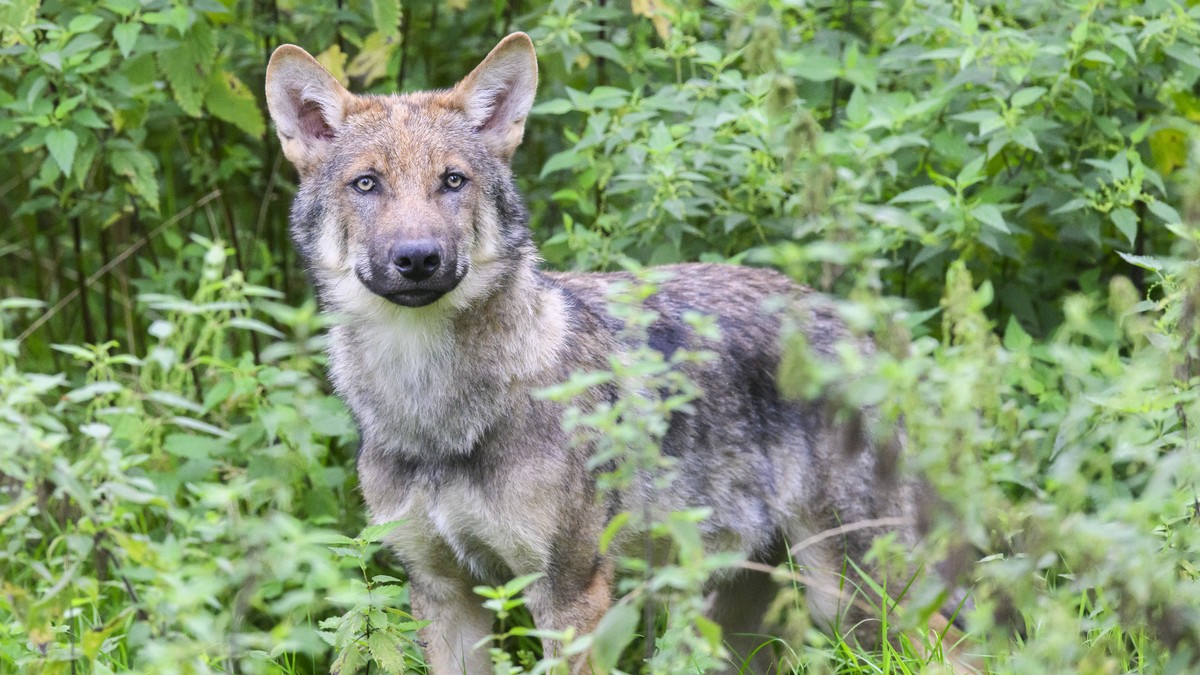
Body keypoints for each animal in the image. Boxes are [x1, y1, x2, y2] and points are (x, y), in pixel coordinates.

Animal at [266, 33, 944, 674]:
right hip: (743, 622)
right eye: (367, 184)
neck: (433, 409)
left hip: (859, 598)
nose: (417, 258)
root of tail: (855, 327)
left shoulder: (569, 594)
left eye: (452, 181)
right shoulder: (442, 592)